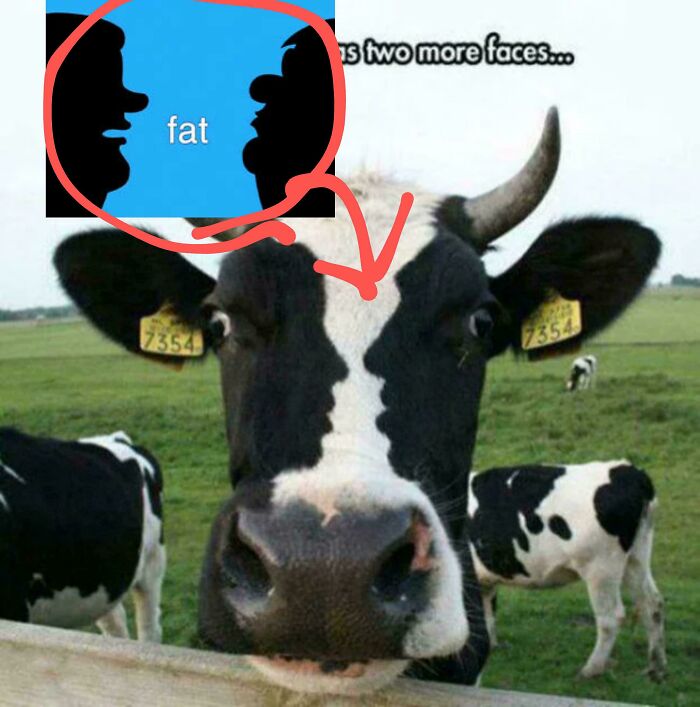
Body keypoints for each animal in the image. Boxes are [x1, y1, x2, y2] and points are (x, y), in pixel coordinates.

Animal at [467, 461, 666, 682]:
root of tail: (628, 470)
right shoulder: (484, 579)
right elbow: (486, 613)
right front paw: (490, 645)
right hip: (637, 556)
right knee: (651, 603)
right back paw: (656, 666)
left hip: (601, 567)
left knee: (611, 617)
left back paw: (591, 669)